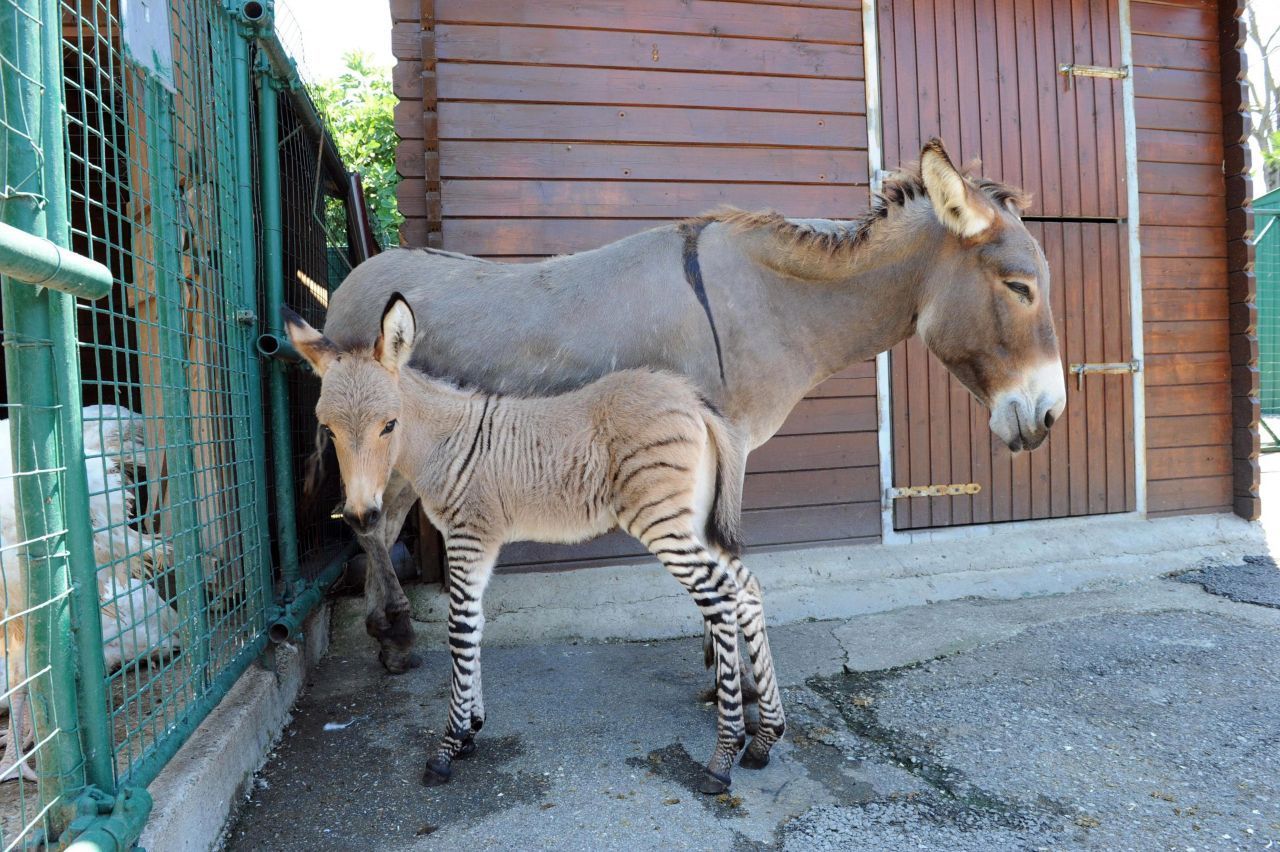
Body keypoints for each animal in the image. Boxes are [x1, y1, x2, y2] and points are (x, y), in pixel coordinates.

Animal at [289, 296, 783, 788]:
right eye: (328, 430)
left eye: (389, 425)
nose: (360, 515)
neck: (445, 444)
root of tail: (693, 399)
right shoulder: (475, 545)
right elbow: (475, 626)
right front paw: (471, 729)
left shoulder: (469, 537)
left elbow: (460, 632)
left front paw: (448, 747)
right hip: (692, 521)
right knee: (746, 587)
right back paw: (765, 739)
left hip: (662, 520)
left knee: (719, 593)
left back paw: (724, 756)